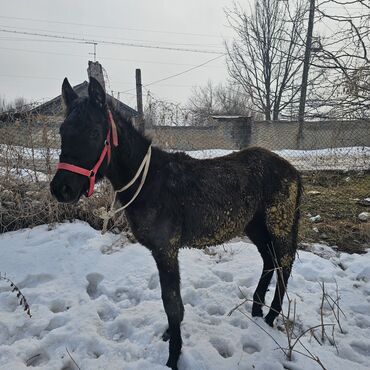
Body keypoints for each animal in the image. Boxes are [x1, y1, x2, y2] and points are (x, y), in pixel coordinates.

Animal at [50, 76, 302, 368]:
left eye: (93, 132)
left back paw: (272, 315)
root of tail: (293, 170)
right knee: (270, 259)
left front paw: (173, 355)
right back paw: (257, 309)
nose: (61, 189)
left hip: (278, 223)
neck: (149, 181)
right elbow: (172, 303)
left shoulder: (166, 250)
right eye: (62, 131)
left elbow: (171, 304)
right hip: (255, 225)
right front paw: (171, 336)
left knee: (284, 263)